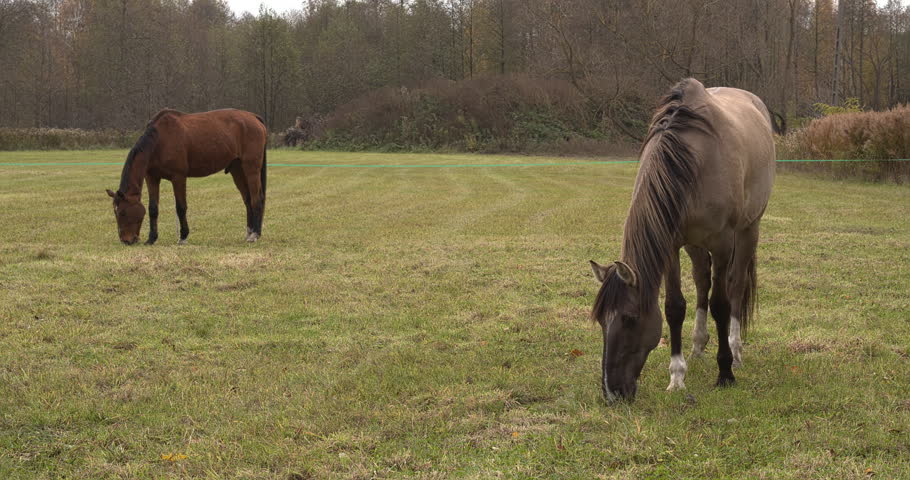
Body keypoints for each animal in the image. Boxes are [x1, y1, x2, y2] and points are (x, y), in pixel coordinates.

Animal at [106, 108, 268, 245]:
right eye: (115, 212)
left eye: (122, 212)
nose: (126, 240)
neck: (160, 141)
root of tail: (254, 117)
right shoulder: (152, 178)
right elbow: (153, 209)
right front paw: (152, 239)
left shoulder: (178, 177)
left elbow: (181, 207)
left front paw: (183, 237)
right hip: (237, 169)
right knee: (247, 200)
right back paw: (250, 232)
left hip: (251, 169)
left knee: (256, 199)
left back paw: (255, 234)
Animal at [589, 78, 777, 401]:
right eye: (601, 320)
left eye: (629, 318)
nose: (612, 393)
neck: (694, 159)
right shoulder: (672, 245)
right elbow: (675, 307)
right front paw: (677, 376)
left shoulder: (723, 242)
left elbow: (720, 304)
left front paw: (725, 372)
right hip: (694, 243)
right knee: (702, 280)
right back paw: (699, 345)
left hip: (749, 229)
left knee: (736, 285)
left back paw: (736, 349)